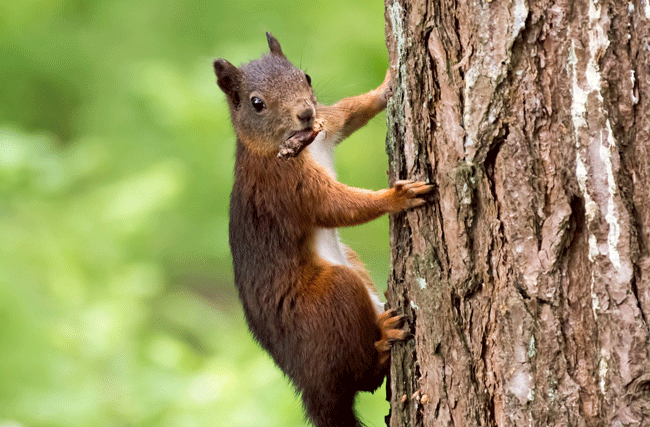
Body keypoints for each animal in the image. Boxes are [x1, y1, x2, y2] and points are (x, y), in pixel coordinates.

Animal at [213, 34, 432, 427]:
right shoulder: (287, 186)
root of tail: (310, 387)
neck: (299, 142)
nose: (304, 113)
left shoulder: (328, 123)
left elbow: (352, 110)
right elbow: (336, 207)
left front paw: (388, 83)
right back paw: (382, 344)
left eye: (307, 77)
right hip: (333, 295)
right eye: (257, 103)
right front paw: (397, 196)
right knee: (361, 379)